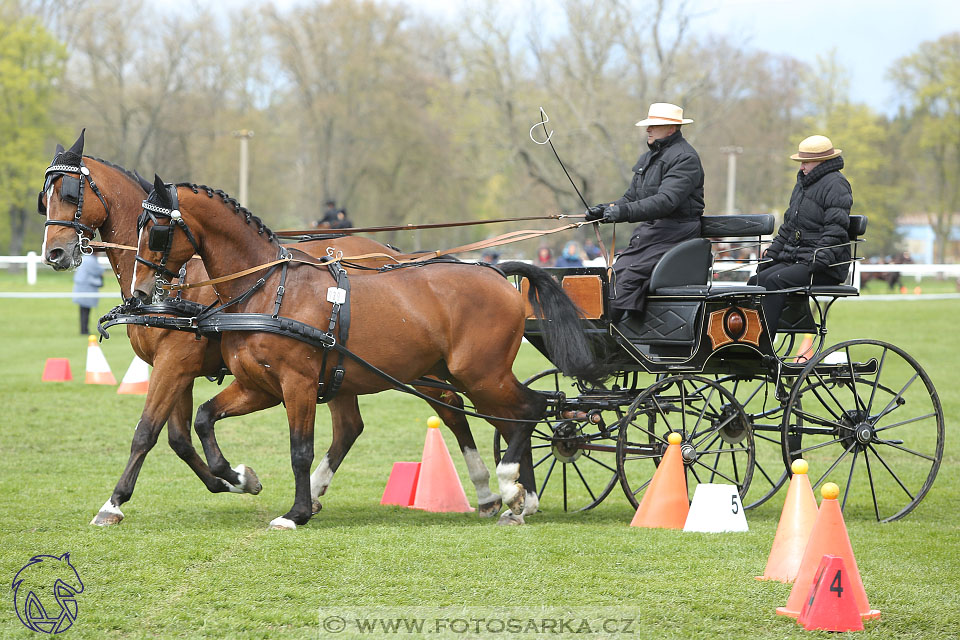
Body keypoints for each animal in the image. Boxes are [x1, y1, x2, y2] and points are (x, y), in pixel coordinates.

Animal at [37, 130, 502, 524]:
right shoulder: (176, 368)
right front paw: (234, 480)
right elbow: (180, 438)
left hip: (408, 365)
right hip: (346, 370)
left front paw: (114, 503)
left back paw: (487, 491)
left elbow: (146, 433)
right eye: (45, 198)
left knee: (450, 407)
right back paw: (316, 492)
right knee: (351, 427)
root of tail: (394, 255)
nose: (54, 253)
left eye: (71, 193)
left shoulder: (176, 362)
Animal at [134, 176, 600, 528]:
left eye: (156, 231)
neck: (269, 289)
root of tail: (496, 270)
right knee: (512, 417)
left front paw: (295, 513)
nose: (139, 294)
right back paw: (518, 498)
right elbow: (204, 418)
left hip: (481, 374)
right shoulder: (259, 386)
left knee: (530, 409)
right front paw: (237, 476)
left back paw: (508, 487)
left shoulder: (298, 384)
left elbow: (300, 450)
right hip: (469, 376)